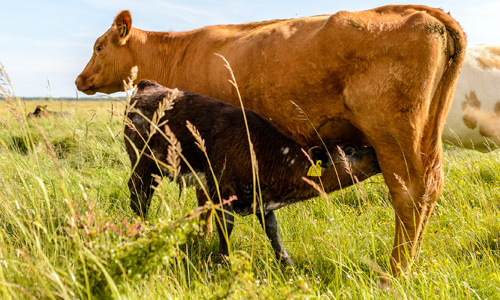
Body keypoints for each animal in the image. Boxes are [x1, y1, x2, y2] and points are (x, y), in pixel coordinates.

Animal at [125, 79, 378, 264]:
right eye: (350, 150)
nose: (375, 153)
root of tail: (147, 85)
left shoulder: (261, 199)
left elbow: (273, 230)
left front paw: (286, 263)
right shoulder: (223, 191)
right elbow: (226, 227)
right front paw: (224, 262)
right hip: (143, 163)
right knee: (139, 195)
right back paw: (140, 230)